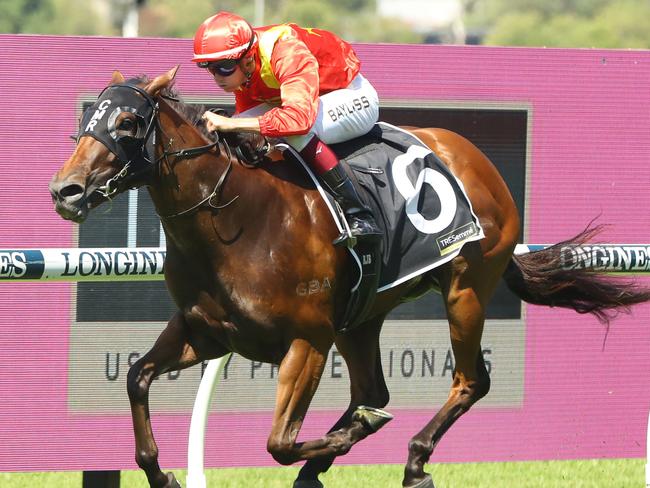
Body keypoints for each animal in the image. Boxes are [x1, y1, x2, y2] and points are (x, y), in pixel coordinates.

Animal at [49, 66, 648, 488]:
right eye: (87, 121)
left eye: (127, 123)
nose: (66, 190)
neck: (237, 219)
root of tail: (476, 158)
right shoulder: (206, 331)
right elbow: (136, 377)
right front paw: (163, 472)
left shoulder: (308, 340)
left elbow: (280, 441)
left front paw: (347, 438)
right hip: (362, 317)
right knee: (372, 387)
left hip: (467, 287)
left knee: (469, 381)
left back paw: (410, 459)